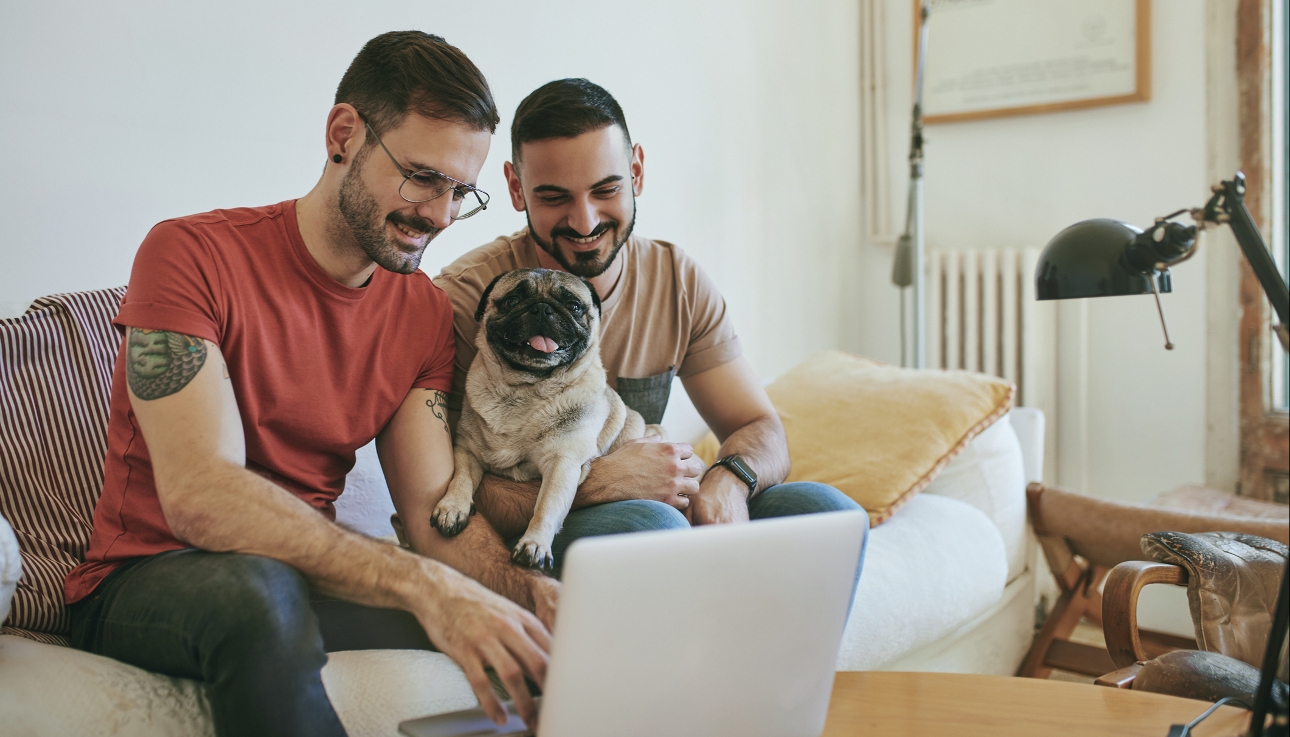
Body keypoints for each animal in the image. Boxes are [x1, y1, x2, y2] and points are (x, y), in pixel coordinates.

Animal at [436, 269, 665, 570]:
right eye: (511, 301)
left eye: (574, 306)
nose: (543, 308)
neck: (525, 390)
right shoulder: (467, 449)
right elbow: (460, 478)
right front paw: (452, 507)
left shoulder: (562, 463)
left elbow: (546, 507)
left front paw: (534, 544)